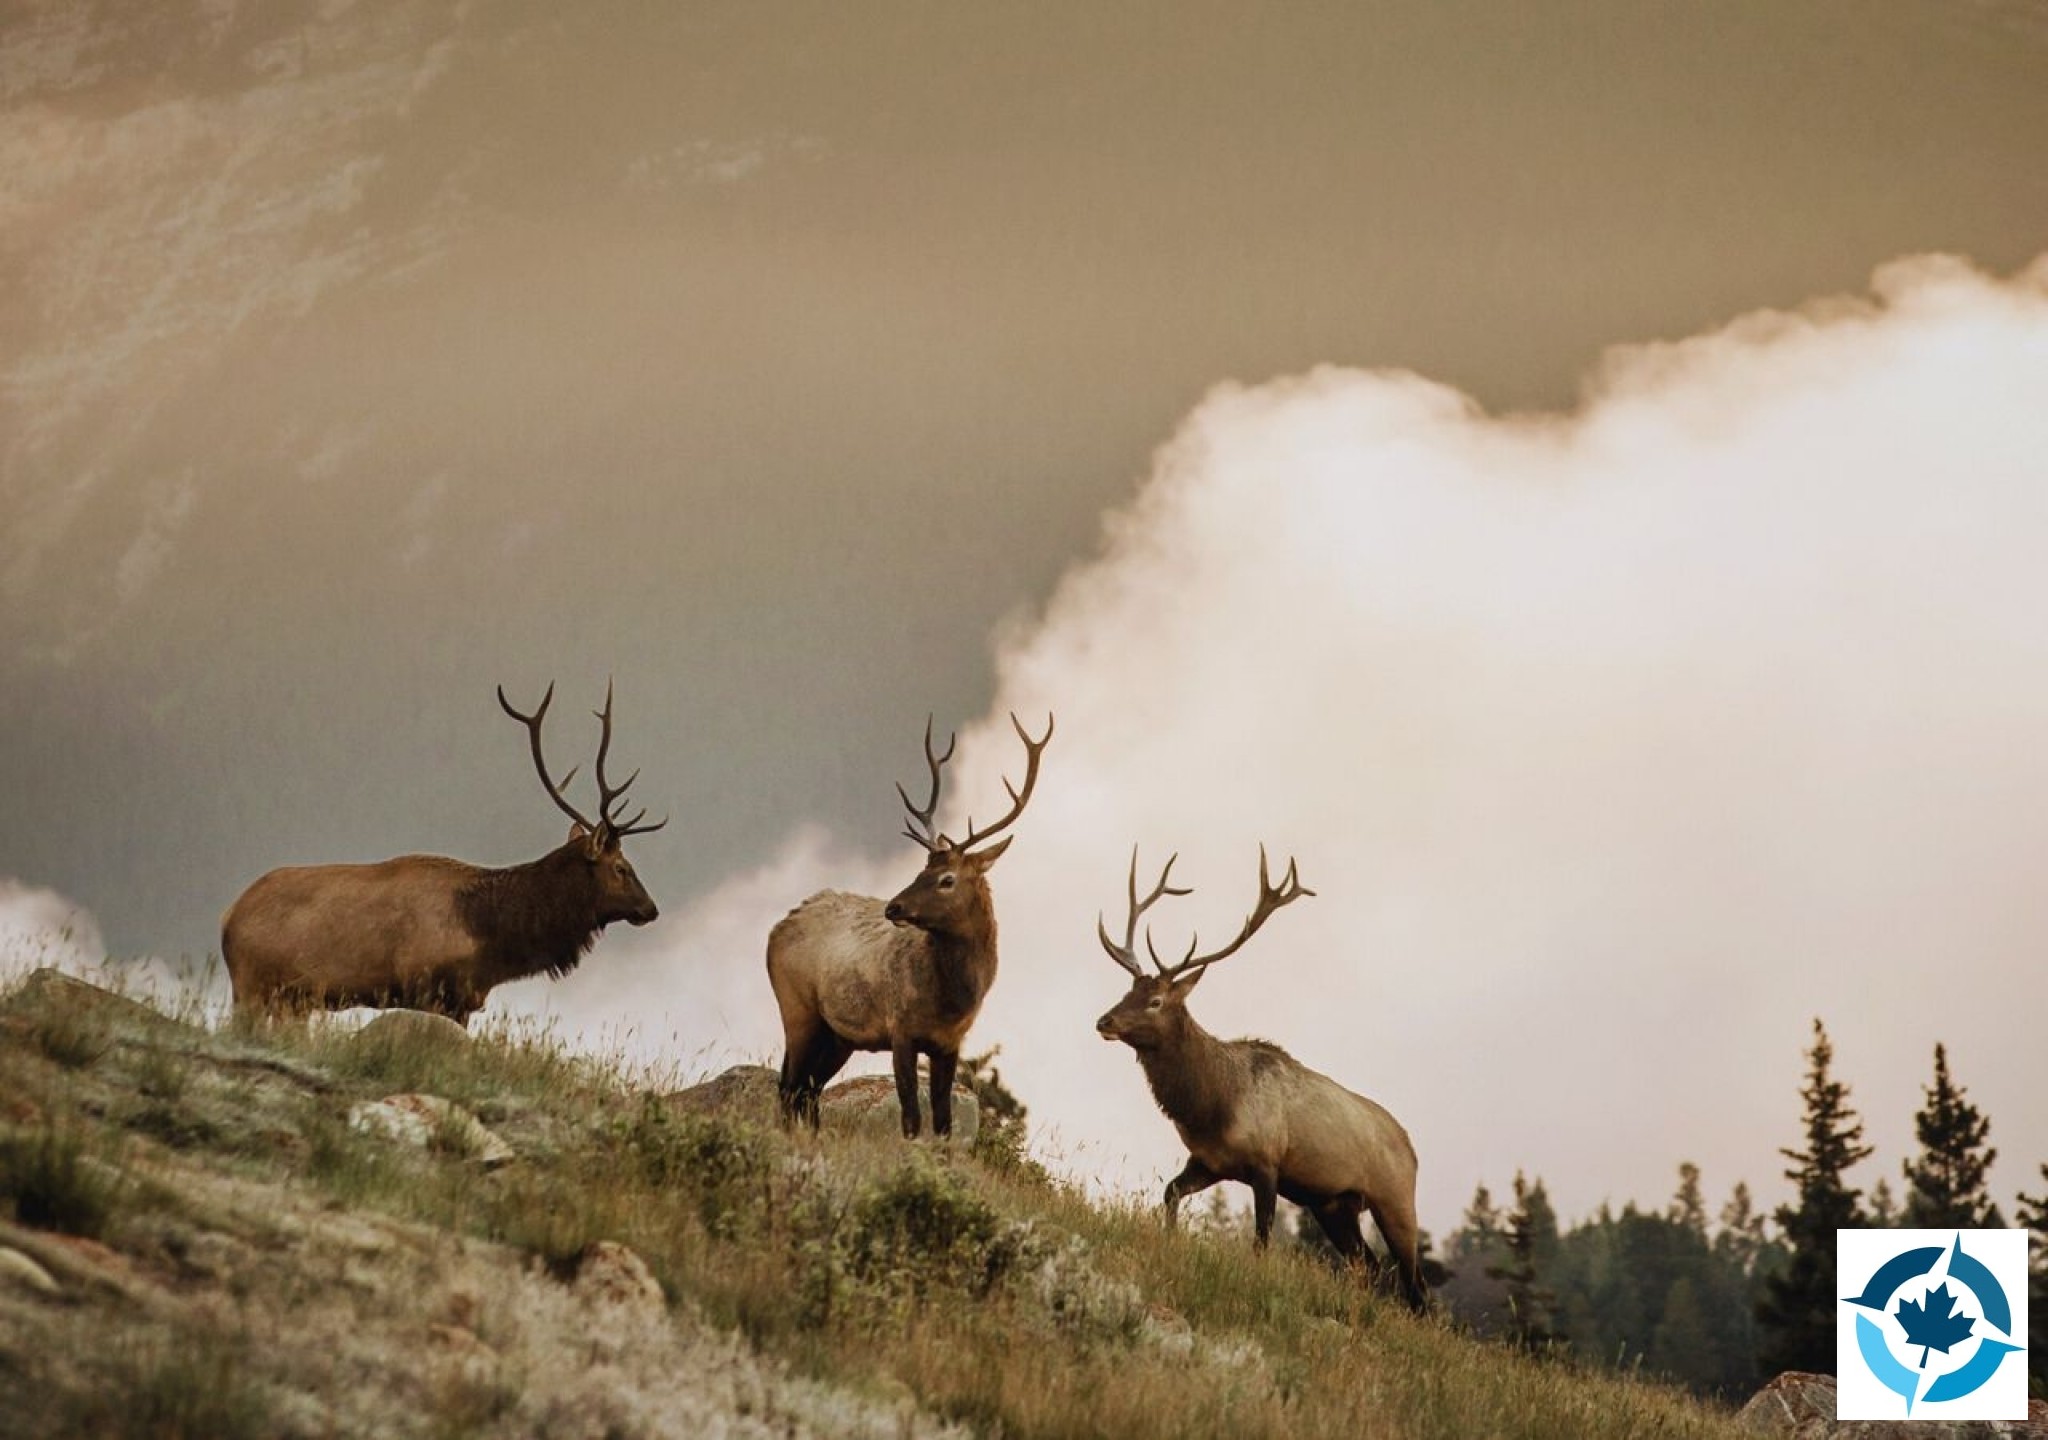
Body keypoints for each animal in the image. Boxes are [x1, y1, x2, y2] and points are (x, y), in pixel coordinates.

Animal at [221, 682, 666, 1024]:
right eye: (622, 867)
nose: (651, 908)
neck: (489, 940)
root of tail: (228, 916)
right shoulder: (430, 989)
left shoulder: (464, 1001)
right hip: (251, 986)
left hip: (292, 999)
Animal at [766, 711, 1053, 1139]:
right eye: (922, 869)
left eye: (946, 879)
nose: (893, 907)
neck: (952, 998)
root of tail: (776, 929)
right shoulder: (900, 1028)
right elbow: (911, 1118)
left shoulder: (950, 1042)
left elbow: (944, 1120)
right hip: (798, 1008)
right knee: (789, 1085)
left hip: (838, 1035)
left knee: (808, 1089)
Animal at [1093, 847, 1428, 1312]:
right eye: (1128, 991)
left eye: (1156, 1000)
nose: (1104, 1021)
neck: (1212, 1106)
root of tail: (1412, 1149)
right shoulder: (1209, 1161)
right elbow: (1170, 1194)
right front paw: (1169, 1243)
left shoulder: (1267, 1164)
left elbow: (1261, 1241)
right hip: (1334, 1205)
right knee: (1369, 1268)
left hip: (1395, 1200)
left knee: (1417, 1289)